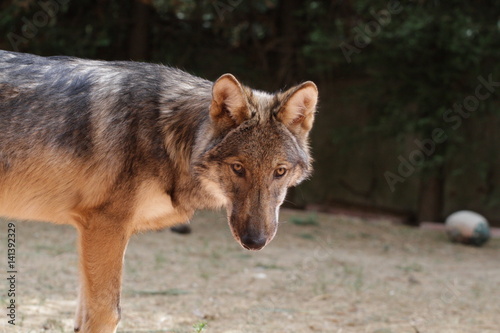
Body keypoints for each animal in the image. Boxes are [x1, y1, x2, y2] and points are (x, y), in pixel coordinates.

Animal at [0, 50, 318, 332]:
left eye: (279, 172)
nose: (255, 242)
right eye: (238, 168)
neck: (168, 135)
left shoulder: (90, 232)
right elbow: (106, 314)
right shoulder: (105, 228)